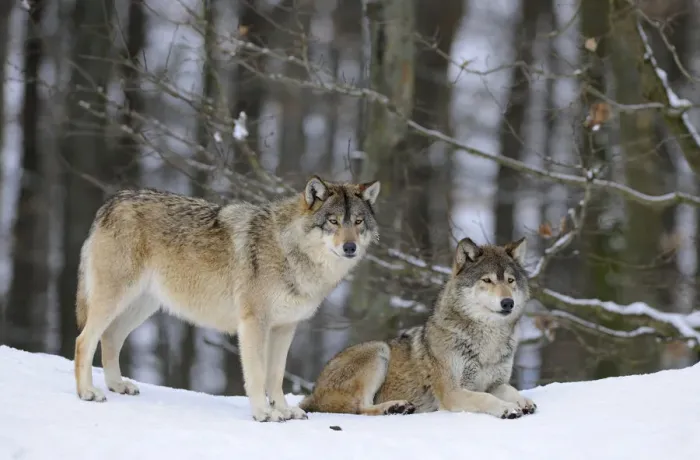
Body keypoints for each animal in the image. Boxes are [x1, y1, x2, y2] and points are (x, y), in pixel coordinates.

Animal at [73, 176, 381, 422]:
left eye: (357, 222)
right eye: (333, 222)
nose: (350, 247)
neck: (290, 251)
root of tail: (113, 201)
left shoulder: (285, 328)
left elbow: (275, 376)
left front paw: (283, 410)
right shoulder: (253, 324)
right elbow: (257, 375)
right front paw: (263, 413)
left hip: (141, 307)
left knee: (110, 337)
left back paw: (117, 385)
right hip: (115, 300)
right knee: (84, 340)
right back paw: (87, 392)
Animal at [299, 236, 536, 419]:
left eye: (510, 280)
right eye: (487, 280)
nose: (508, 303)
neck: (488, 342)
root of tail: (312, 392)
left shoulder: (496, 383)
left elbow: (509, 389)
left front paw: (523, 402)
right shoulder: (452, 392)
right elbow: (486, 397)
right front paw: (507, 409)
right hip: (378, 350)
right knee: (359, 408)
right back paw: (394, 407)